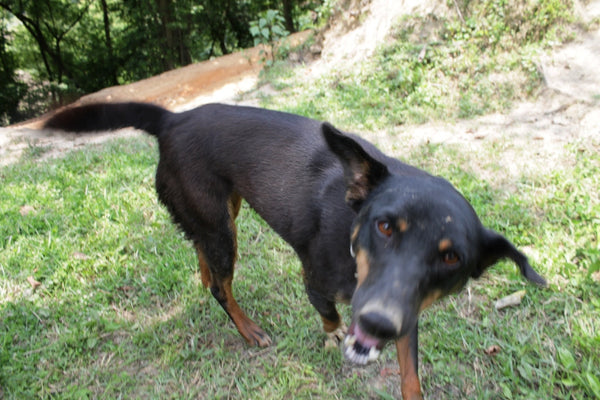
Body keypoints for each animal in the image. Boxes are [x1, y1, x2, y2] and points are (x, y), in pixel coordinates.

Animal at [44, 101, 548, 398]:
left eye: (450, 258)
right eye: (385, 226)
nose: (377, 323)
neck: (352, 230)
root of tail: (172, 119)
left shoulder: (407, 313)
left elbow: (410, 374)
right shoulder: (318, 283)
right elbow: (330, 315)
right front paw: (334, 335)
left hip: (223, 212)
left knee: (202, 252)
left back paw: (206, 276)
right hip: (223, 228)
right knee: (223, 287)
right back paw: (248, 329)